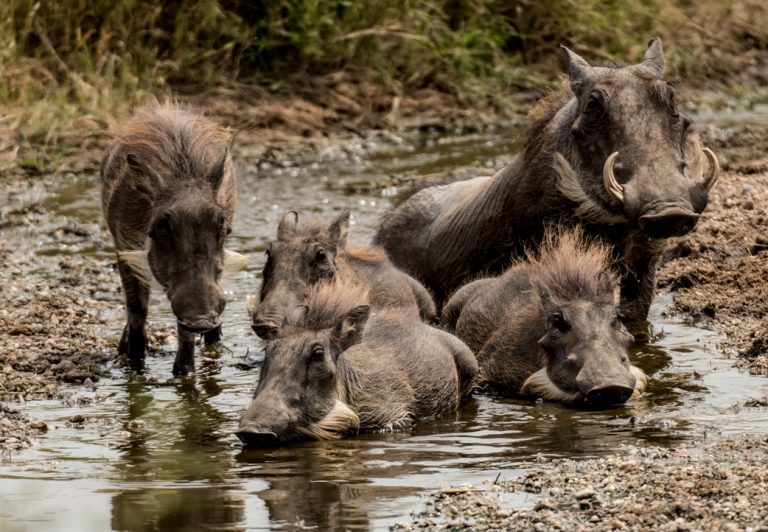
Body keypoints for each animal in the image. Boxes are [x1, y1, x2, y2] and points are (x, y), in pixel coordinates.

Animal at [101, 102, 247, 375]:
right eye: (162, 225)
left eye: (222, 224)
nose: (202, 318)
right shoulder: (125, 246)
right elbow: (137, 311)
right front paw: (135, 366)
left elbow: (185, 333)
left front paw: (184, 371)